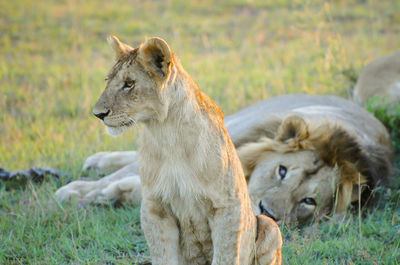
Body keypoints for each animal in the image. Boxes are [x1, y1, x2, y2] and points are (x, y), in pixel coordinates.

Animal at [57, 93, 394, 225]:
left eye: (308, 202)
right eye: (282, 171)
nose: (267, 214)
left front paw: (114, 194)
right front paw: (76, 192)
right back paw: (97, 163)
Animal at [85, 35, 282, 264]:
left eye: (129, 84)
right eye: (108, 81)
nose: (98, 114)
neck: (166, 133)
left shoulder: (228, 206)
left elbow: (225, 255)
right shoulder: (155, 208)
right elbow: (163, 256)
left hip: (270, 224)